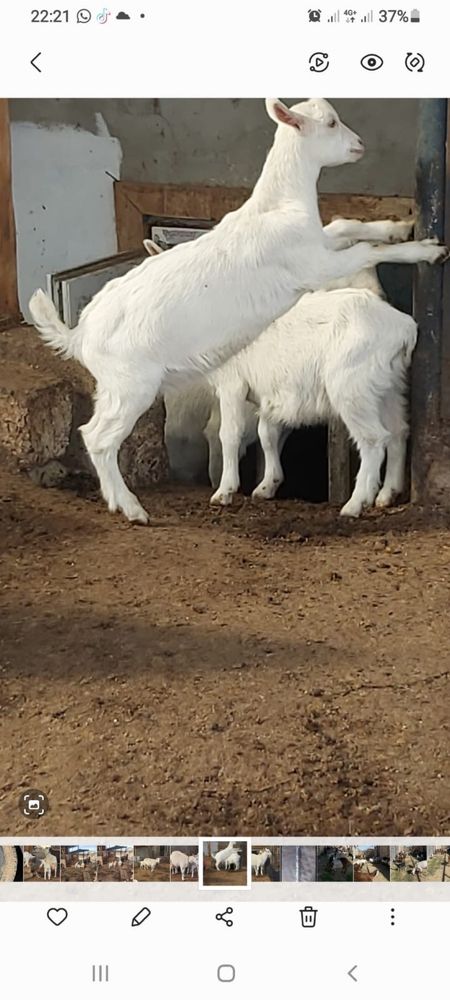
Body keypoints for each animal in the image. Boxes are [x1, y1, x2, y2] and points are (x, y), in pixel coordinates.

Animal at [29, 97, 446, 528]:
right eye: (331, 123)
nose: (359, 145)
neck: (274, 208)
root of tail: (79, 333)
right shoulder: (311, 268)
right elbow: (363, 251)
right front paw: (426, 249)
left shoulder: (317, 245)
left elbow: (345, 225)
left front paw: (399, 227)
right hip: (133, 386)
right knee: (100, 438)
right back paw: (133, 509)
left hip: (111, 387)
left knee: (92, 433)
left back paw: (117, 502)